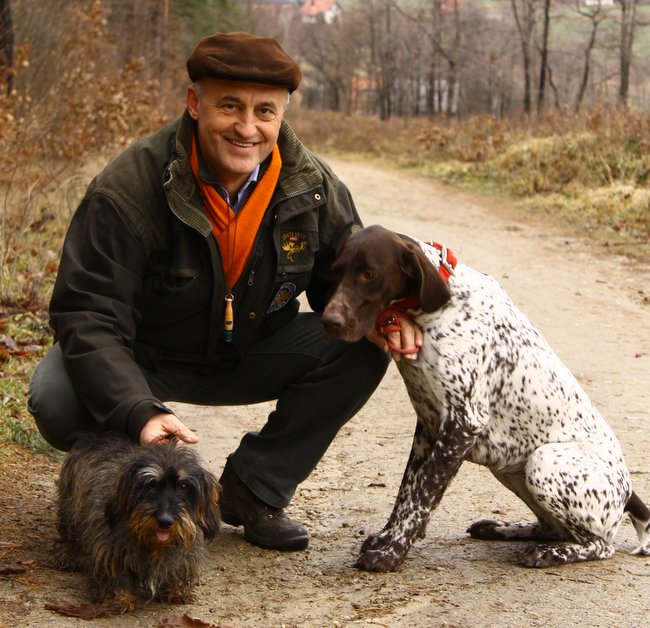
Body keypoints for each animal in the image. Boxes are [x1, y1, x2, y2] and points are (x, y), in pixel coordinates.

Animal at [320, 223, 648, 572]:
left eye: (369, 274)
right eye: (336, 271)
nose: (329, 321)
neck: (437, 309)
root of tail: (628, 491)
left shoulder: (462, 424)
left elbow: (422, 495)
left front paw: (391, 553)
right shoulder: (429, 426)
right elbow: (407, 493)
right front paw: (386, 537)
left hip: (543, 461)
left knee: (599, 544)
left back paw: (549, 554)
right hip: (511, 469)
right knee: (552, 528)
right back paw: (501, 529)